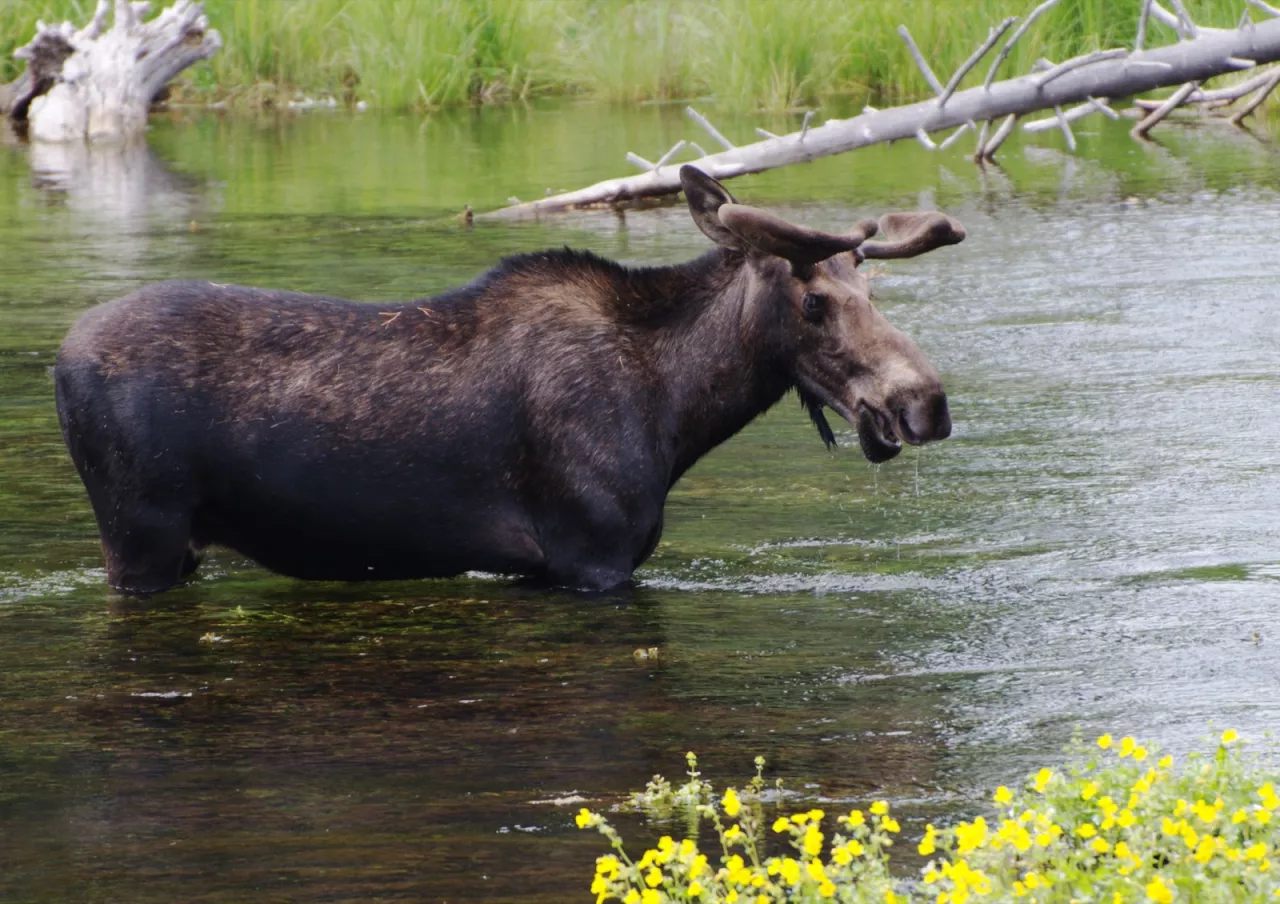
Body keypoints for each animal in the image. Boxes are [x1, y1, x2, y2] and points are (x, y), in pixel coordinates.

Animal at [54, 166, 964, 594]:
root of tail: (59, 360)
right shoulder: (591, 556)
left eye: (873, 289)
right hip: (139, 536)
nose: (924, 402)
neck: (677, 409)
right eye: (813, 300)